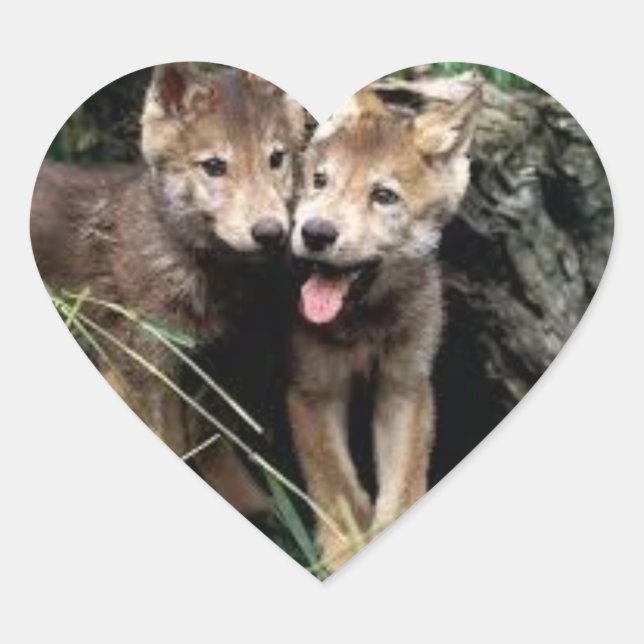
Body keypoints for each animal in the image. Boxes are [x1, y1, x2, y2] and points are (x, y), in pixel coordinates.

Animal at [31, 63, 308, 517]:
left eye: (276, 159)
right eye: (214, 165)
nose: (270, 232)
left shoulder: (215, 363)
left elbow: (211, 445)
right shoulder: (147, 361)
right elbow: (171, 441)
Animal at [287, 82, 481, 568]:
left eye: (384, 196)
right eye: (320, 181)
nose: (315, 233)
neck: (365, 325)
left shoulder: (405, 388)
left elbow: (403, 491)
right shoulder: (313, 390)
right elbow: (338, 488)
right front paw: (343, 555)